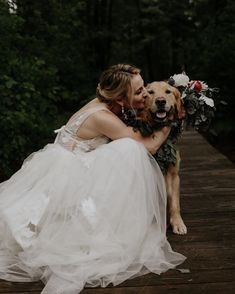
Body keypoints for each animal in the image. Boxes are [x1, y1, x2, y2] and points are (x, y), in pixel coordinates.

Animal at [145, 81, 187, 235]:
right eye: (150, 92)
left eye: (168, 91)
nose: (160, 101)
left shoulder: (174, 175)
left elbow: (174, 203)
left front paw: (177, 223)